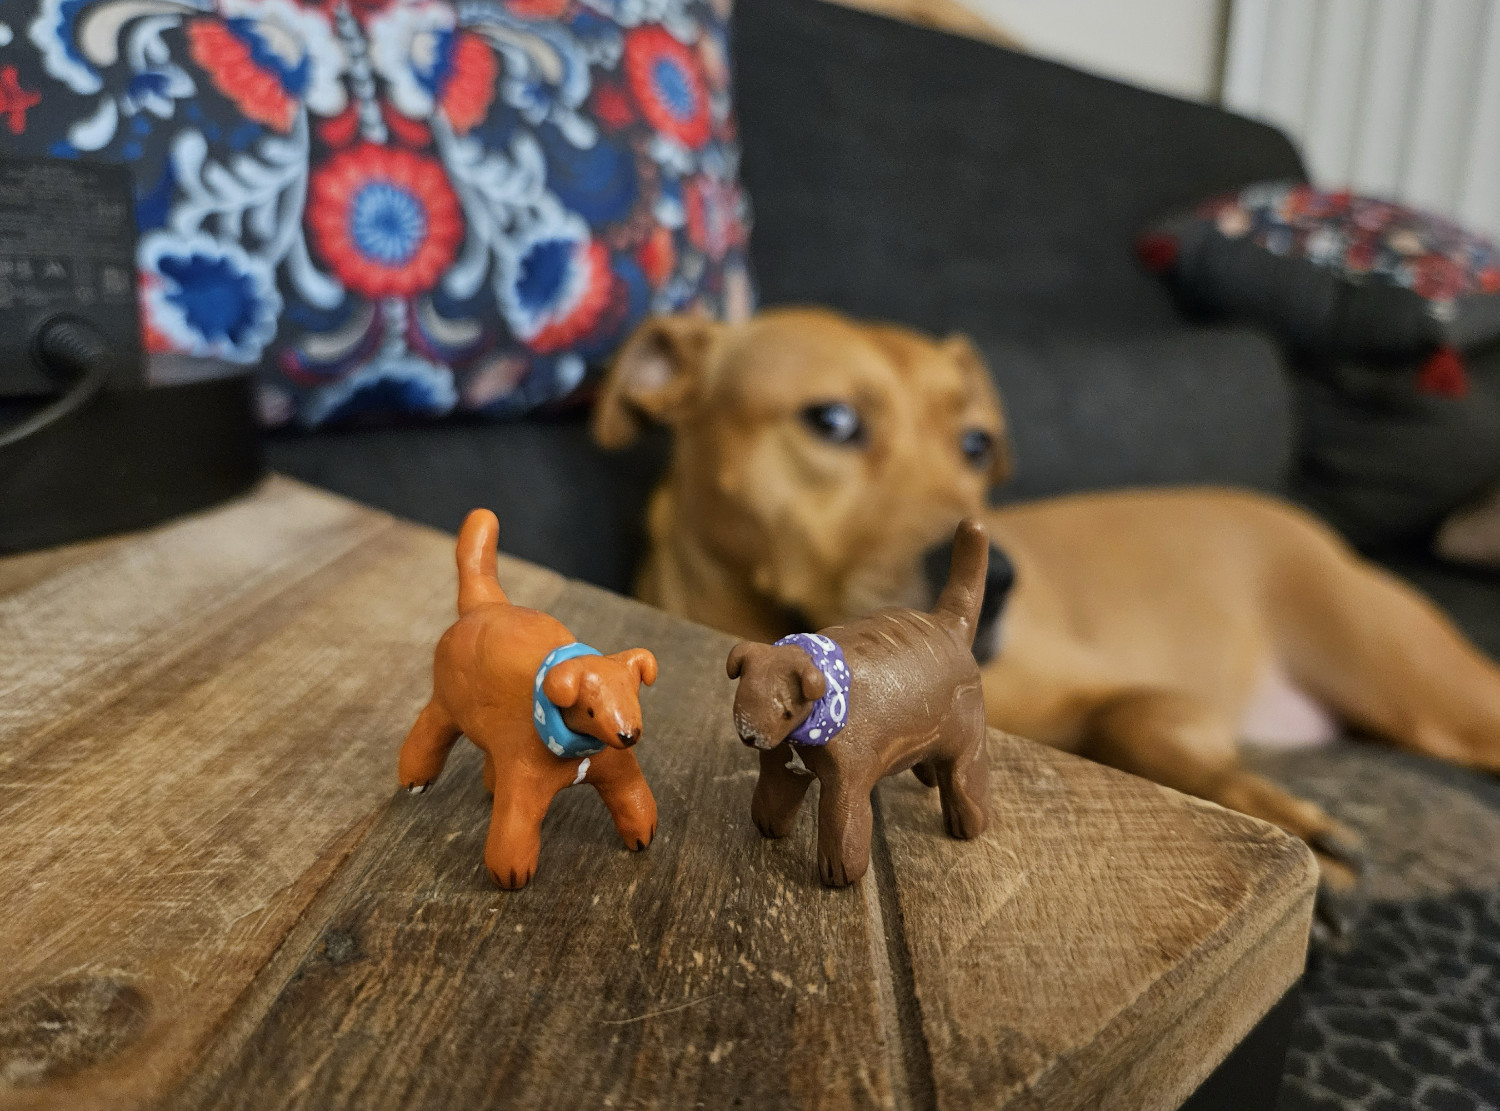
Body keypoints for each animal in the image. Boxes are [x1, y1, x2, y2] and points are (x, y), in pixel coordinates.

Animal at [399, 506, 657, 887]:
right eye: (591, 711)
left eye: (633, 700)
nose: (629, 735)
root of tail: (486, 604)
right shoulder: (522, 783)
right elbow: (514, 829)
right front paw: (510, 874)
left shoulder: (618, 770)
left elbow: (634, 799)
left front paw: (643, 834)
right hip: (445, 704)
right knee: (428, 732)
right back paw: (415, 778)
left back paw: (491, 785)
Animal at [729, 515, 996, 887]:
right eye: (741, 699)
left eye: (786, 711)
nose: (749, 735)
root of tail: (950, 626)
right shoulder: (781, 765)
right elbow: (773, 799)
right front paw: (768, 827)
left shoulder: (849, 779)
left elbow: (843, 825)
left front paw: (841, 873)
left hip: (967, 739)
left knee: (963, 777)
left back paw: (969, 824)